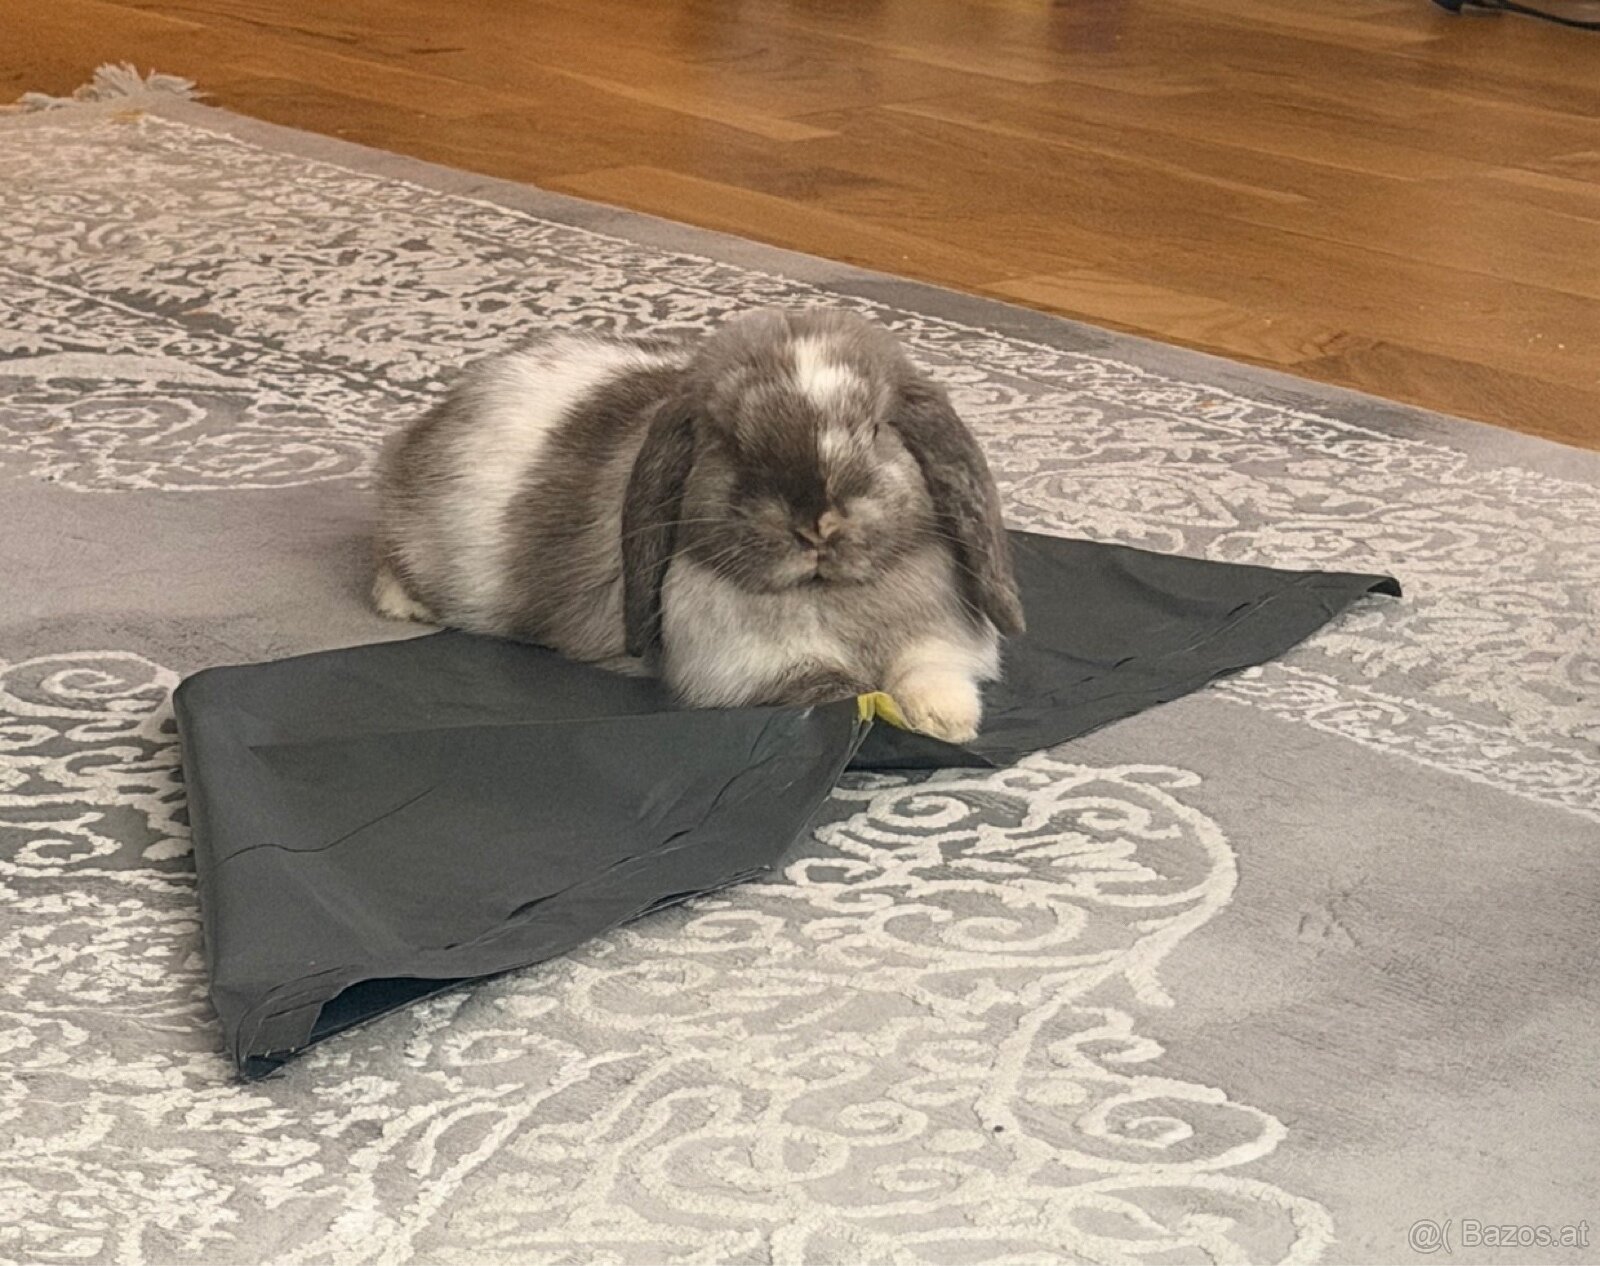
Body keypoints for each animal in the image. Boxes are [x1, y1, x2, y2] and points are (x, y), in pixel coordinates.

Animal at [373, 307, 1024, 742]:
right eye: (733, 444)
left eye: (875, 429)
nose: (816, 525)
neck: (828, 596)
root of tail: (434, 419)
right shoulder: (747, 666)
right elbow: (829, 686)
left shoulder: (937, 639)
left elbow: (930, 671)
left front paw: (948, 722)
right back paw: (403, 604)